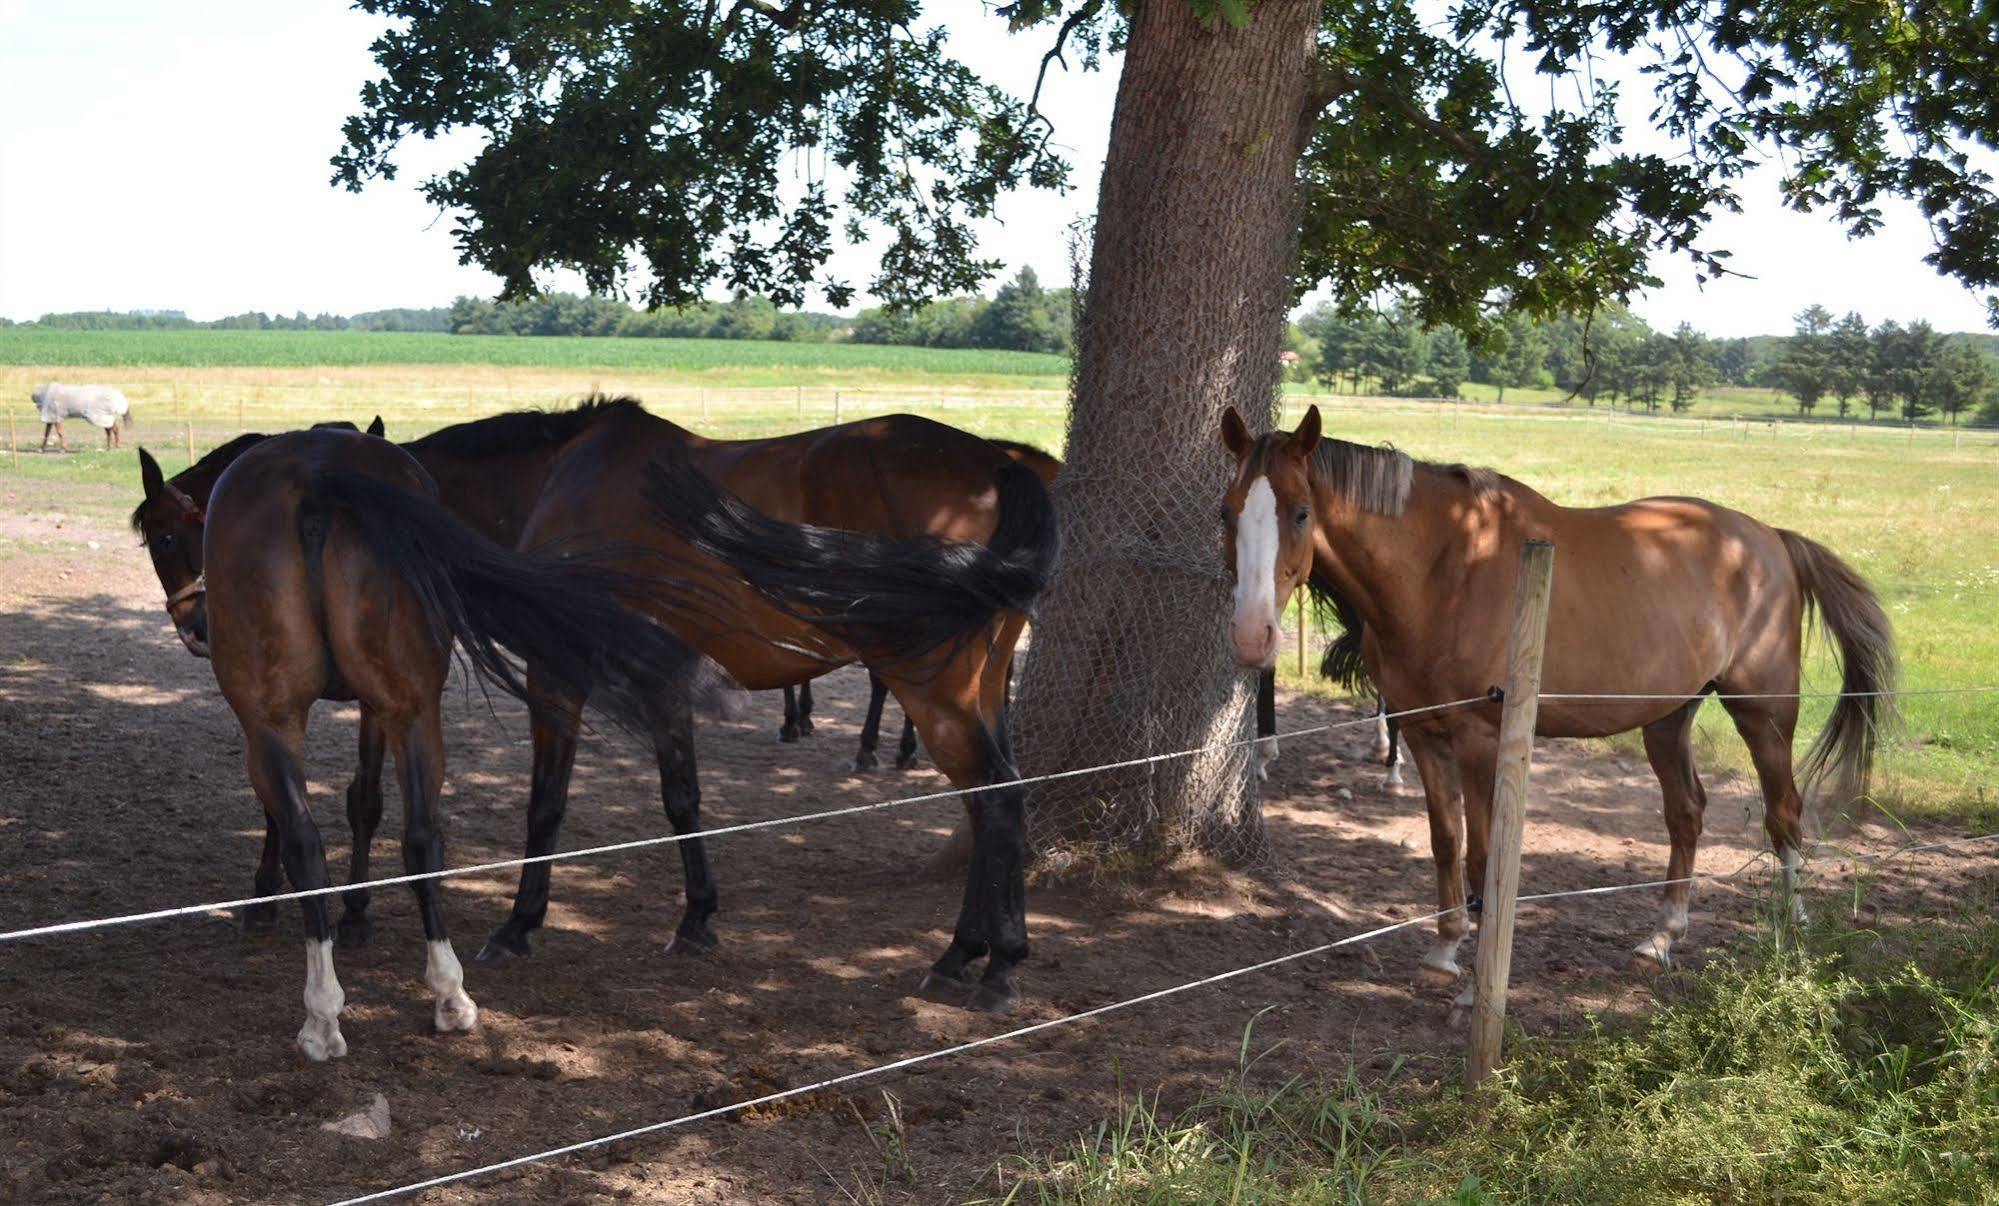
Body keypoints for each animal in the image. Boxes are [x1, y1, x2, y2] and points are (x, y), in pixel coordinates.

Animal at [175, 424, 703, 1056]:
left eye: (168, 537)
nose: (192, 625)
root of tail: (317, 476)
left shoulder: (364, 712)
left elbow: (358, 803)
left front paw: (338, 912)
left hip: (367, 714)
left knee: (385, 838)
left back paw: (366, 1006)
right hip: (382, 714)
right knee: (397, 839)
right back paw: (408, 1001)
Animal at [1215, 406, 1887, 992]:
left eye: (1301, 513)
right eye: (1227, 512)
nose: (1251, 636)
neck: (1443, 568)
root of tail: (1770, 538)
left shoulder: (1481, 740)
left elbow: (1485, 858)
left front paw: (1476, 986)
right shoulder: (1427, 733)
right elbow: (1445, 844)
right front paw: (1444, 951)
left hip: (1764, 714)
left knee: (1784, 812)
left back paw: (1792, 932)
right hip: (1668, 718)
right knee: (1687, 812)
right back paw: (1660, 938)